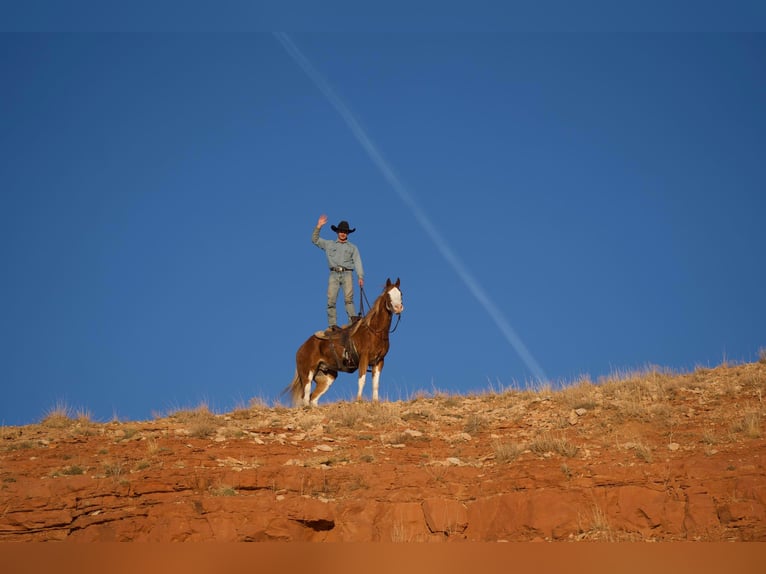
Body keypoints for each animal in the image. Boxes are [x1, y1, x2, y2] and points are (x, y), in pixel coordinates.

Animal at [286, 280, 404, 410]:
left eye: (401, 293)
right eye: (388, 294)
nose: (398, 308)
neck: (374, 331)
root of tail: (301, 348)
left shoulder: (379, 361)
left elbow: (376, 383)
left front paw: (375, 401)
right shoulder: (364, 358)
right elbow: (362, 379)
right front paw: (359, 400)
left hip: (327, 377)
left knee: (313, 398)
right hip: (307, 373)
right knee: (306, 396)